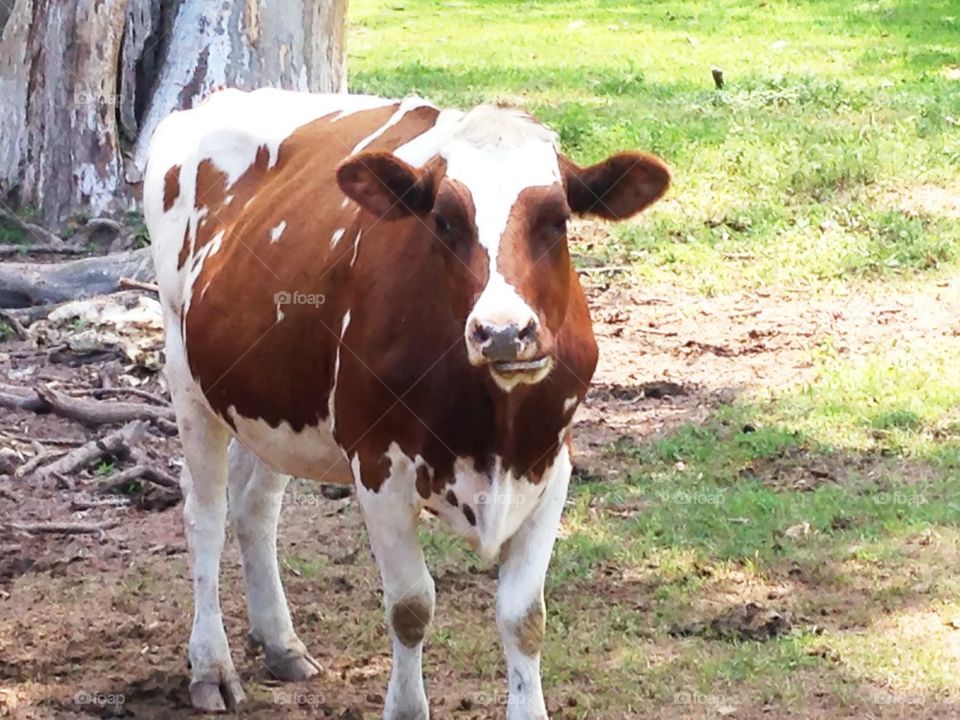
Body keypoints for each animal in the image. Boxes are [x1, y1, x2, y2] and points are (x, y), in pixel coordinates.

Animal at [143, 88, 669, 719]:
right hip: (187, 376)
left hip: (272, 401)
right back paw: (211, 664)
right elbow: (411, 606)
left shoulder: (551, 463)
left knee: (254, 508)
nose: (502, 333)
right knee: (205, 515)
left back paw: (280, 643)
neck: (495, 427)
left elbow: (524, 617)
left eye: (558, 220)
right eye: (443, 220)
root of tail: (225, 97)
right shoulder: (379, 469)